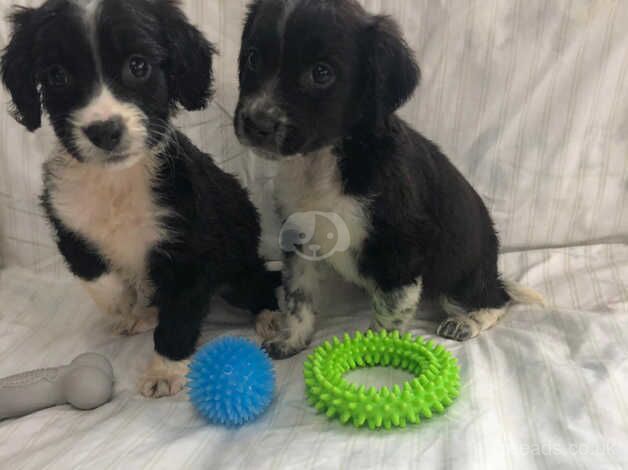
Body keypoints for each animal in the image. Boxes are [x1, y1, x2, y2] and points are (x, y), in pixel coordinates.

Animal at [1, 0, 278, 396]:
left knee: (262, 284)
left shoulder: (190, 248)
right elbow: (94, 273)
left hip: (237, 268)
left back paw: (272, 317)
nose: (104, 131)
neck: (115, 182)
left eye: (138, 66)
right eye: (57, 76)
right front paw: (124, 303)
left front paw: (165, 369)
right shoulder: (68, 220)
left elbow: (179, 316)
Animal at [233, 0, 544, 360]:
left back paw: (468, 321)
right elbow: (299, 298)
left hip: (456, 273)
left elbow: (388, 313)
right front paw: (293, 339)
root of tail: (492, 268)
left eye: (322, 73)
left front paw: (374, 359)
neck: (326, 162)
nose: (256, 123)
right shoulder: (300, 239)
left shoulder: (401, 249)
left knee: (497, 298)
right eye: (253, 58)